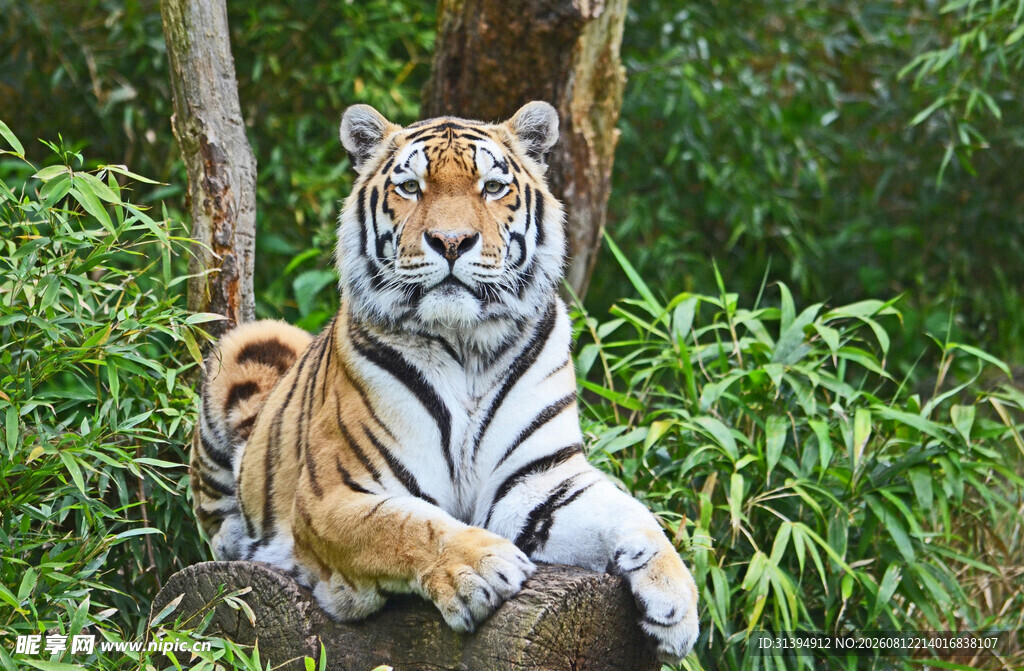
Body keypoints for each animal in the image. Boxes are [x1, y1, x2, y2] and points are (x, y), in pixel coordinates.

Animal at [190, 101, 699, 661]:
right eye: (411, 187)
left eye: (492, 187)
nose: (451, 242)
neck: (467, 346)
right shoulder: (333, 496)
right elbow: (408, 525)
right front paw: (483, 566)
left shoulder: (541, 480)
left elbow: (633, 515)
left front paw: (676, 600)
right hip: (253, 341)